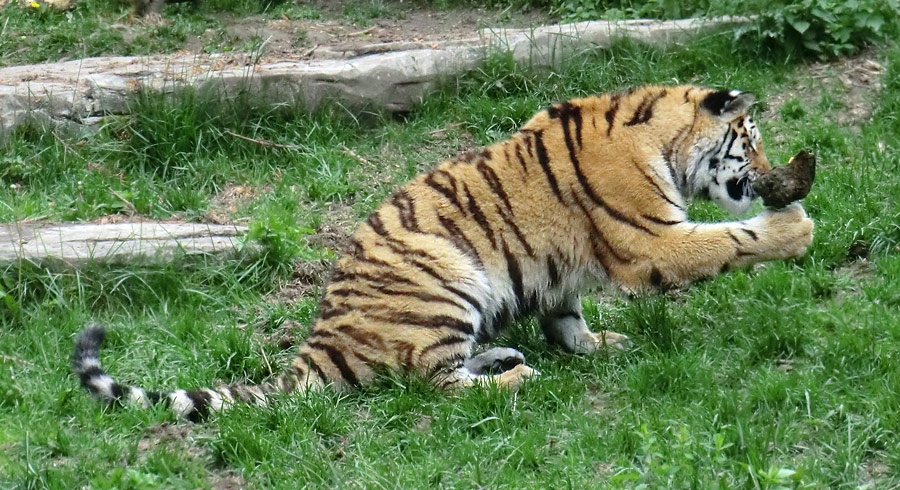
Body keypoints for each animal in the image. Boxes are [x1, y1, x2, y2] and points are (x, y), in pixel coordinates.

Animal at [70, 84, 816, 422]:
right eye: (751, 141)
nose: (769, 170)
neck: (663, 137)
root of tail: (317, 344)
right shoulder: (652, 238)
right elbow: (730, 240)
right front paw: (793, 229)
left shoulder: (563, 273)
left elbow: (565, 314)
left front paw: (597, 344)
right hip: (447, 277)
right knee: (431, 382)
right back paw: (517, 377)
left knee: (437, 368)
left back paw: (505, 355)